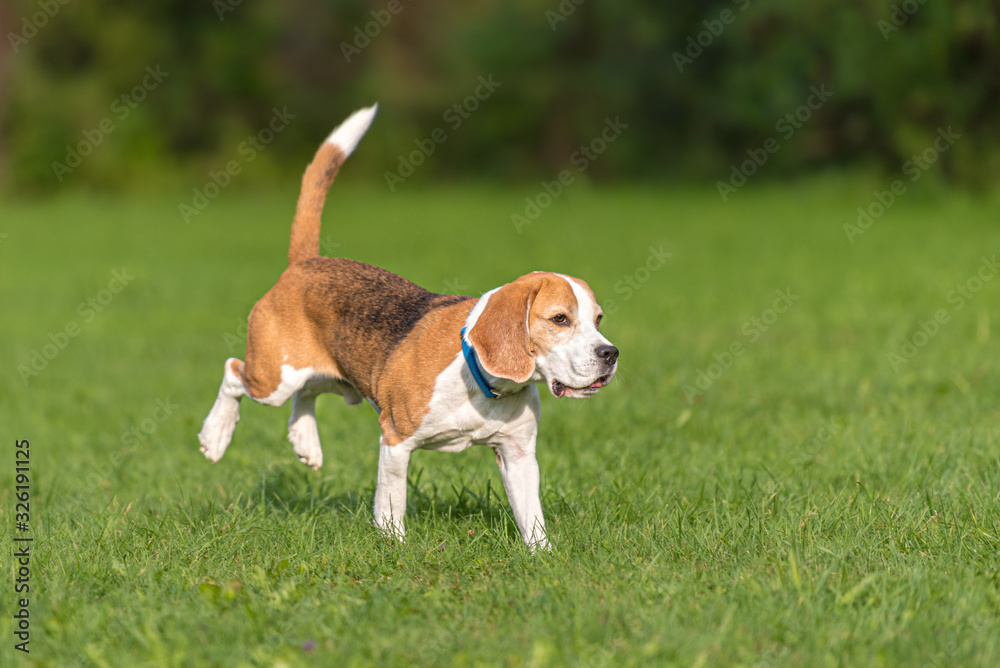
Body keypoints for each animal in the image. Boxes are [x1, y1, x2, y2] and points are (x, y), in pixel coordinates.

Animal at [196, 105, 616, 548]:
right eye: (559, 319)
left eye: (598, 319)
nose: (610, 354)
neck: (481, 381)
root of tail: (305, 263)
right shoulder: (395, 440)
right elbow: (392, 503)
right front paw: (394, 545)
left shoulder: (518, 454)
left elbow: (531, 518)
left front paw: (541, 555)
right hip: (273, 377)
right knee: (233, 372)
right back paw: (215, 436)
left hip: (332, 377)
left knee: (305, 396)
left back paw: (305, 442)